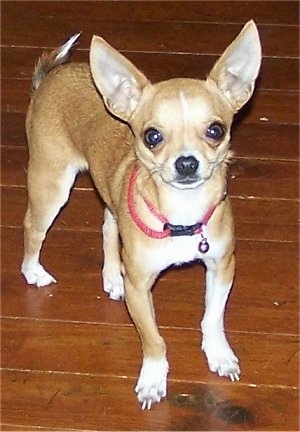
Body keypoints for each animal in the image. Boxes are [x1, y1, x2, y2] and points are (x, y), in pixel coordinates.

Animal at [21, 22, 260, 408]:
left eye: (215, 130)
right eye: (152, 136)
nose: (187, 162)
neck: (181, 216)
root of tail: (51, 77)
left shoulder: (222, 267)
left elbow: (212, 317)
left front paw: (218, 354)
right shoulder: (141, 287)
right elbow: (153, 340)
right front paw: (153, 379)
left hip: (107, 198)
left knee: (107, 227)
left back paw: (112, 277)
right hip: (51, 184)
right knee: (32, 227)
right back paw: (33, 272)